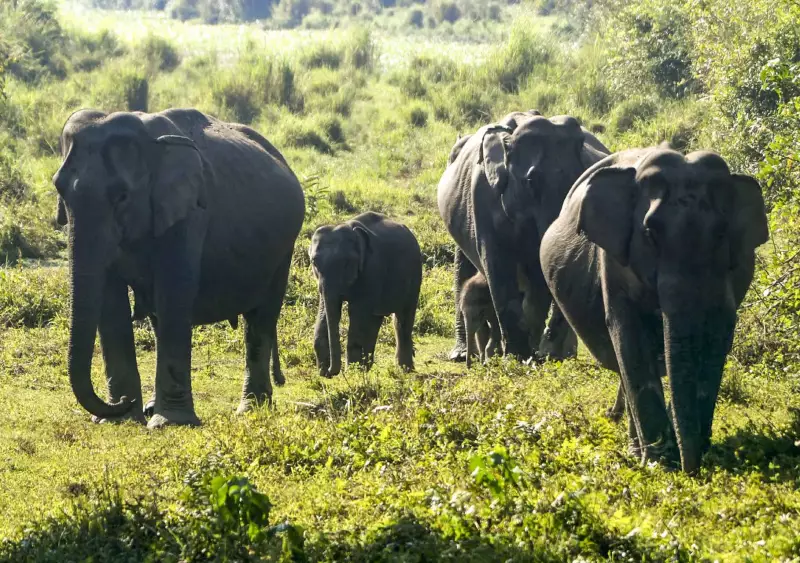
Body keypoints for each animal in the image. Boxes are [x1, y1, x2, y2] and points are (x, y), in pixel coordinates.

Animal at [52, 108, 305, 428]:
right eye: (59, 189)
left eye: (122, 196)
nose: (122, 403)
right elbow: (110, 303)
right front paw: (122, 418)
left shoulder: (189, 212)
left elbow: (174, 291)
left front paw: (168, 422)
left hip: (283, 248)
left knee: (261, 318)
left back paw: (250, 409)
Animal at [309, 211, 422, 377]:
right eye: (314, 262)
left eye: (347, 263)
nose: (329, 371)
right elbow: (327, 309)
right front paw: (325, 370)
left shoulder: (372, 269)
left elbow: (358, 313)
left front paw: (354, 373)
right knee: (376, 319)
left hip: (415, 275)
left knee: (403, 319)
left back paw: (404, 370)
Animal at [438, 110, 609, 363]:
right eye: (531, 181)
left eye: (579, 178)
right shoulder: (481, 199)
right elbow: (498, 266)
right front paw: (516, 357)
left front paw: (533, 354)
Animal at [540, 146, 769, 472]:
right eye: (650, 233)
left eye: (721, 233)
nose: (692, 469)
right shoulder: (614, 263)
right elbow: (628, 335)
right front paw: (661, 463)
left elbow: (719, 333)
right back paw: (637, 448)